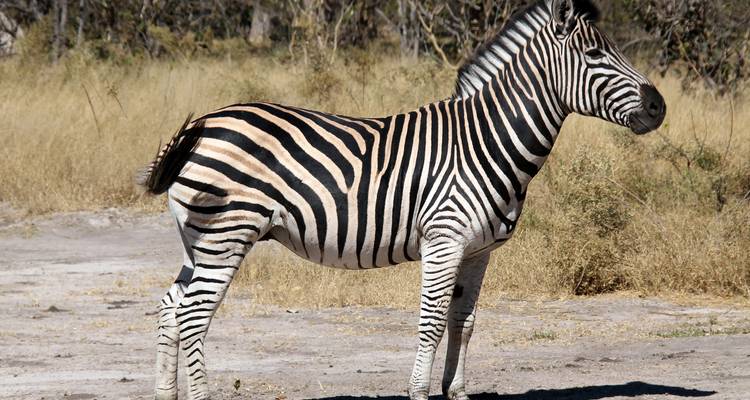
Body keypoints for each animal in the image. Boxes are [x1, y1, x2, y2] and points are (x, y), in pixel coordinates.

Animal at [140, 0, 666, 399]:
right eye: (595, 52)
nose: (659, 106)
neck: (486, 141)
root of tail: (203, 123)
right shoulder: (444, 239)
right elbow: (431, 321)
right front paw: (418, 392)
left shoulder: (478, 251)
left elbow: (463, 320)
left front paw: (457, 391)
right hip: (227, 232)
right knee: (193, 315)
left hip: (198, 239)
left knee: (170, 308)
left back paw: (166, 394)